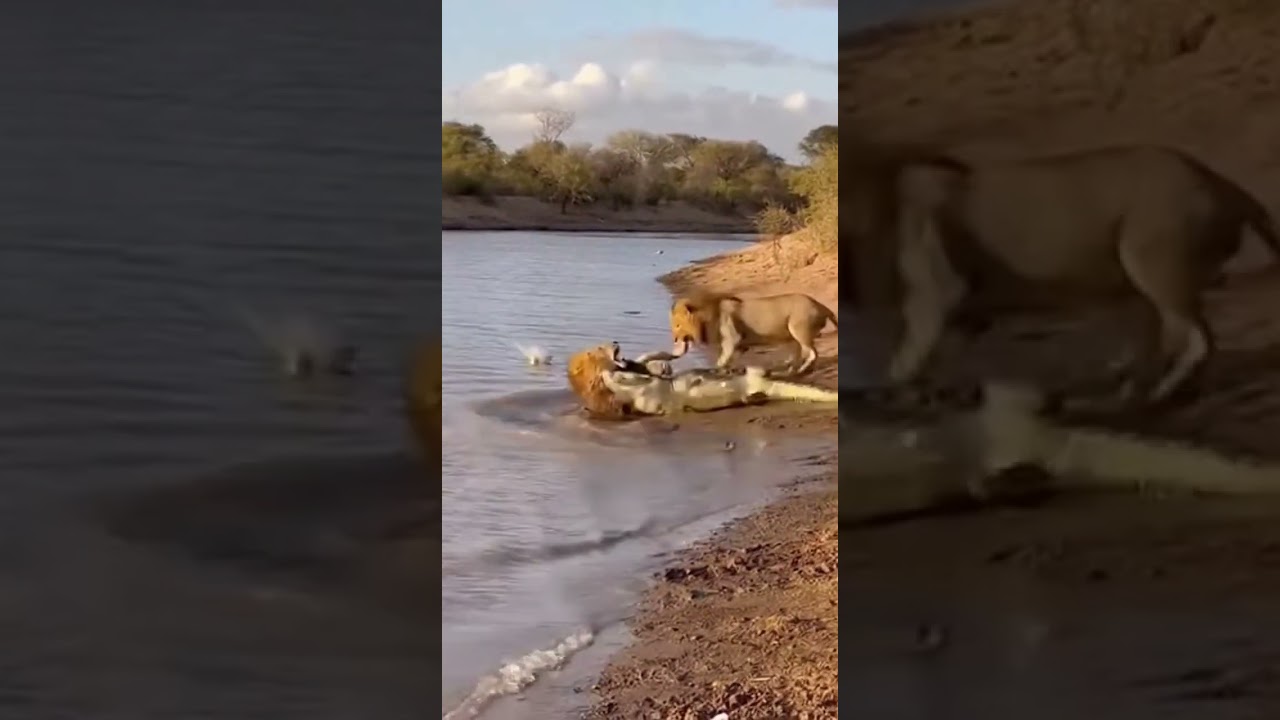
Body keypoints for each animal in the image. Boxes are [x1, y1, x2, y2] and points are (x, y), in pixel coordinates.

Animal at [668, 293, 838, 375]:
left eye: (677, 325)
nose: (674, 339)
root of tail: (821, 305)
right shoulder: (741, 345)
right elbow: (729, 360)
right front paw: (729, 372)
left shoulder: (732, 340)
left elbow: (721, 361)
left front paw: (718, 372)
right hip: (791, 335)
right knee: (800, 354)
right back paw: (792, 370)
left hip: (798, 329)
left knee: (813, 353)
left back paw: (802, 370)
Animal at [841, 143, 1280, 404]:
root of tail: (1223, 186)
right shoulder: (965, 306)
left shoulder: (936, 291)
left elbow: (909, 354)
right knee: (1172, 333)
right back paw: (1142, 385)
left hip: (1150, 254)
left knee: (1194, 336)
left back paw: (1152, 393)